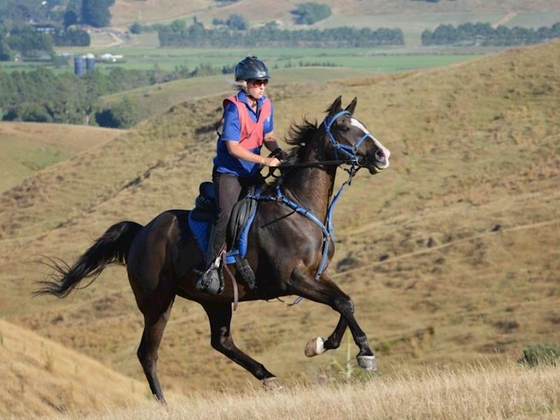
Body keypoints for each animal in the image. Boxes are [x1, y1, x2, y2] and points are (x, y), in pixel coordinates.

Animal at [35, 96, 392, 404]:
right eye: (344, 127)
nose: (382, 155)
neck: (298, 205)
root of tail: (141, 233)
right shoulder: (293, 279)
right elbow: (341, 303)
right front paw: (365, 353)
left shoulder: (317, 275)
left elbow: (345, 302)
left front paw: (322, 344)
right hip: (157, 303)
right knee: (147, 353)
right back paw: (164, 403)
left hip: (215, 298)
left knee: (220, 341)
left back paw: (268, 377)